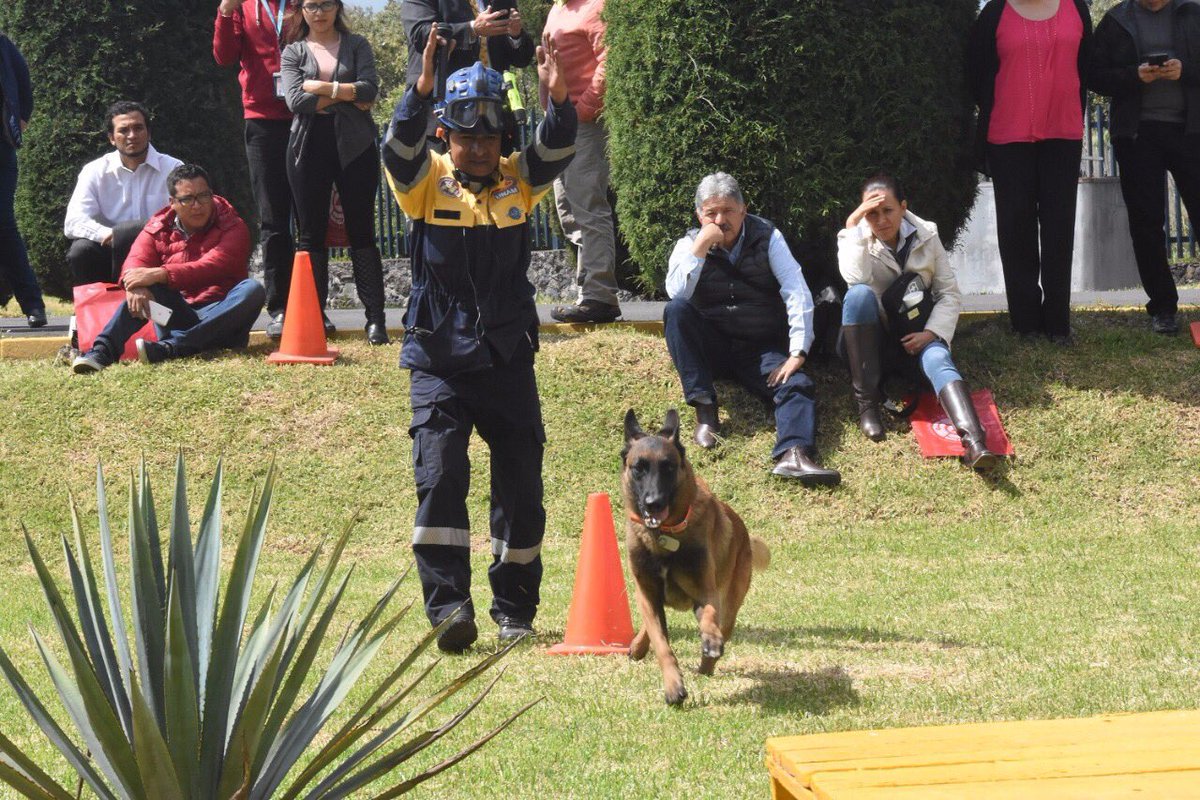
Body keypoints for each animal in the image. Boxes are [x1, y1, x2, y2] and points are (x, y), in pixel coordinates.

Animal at [621, 408, 770, 705]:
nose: (654, 503)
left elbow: (709, 615)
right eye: (639, 468)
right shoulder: (647, 593)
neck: (662, 537)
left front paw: (710, 642)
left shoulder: (705, 592)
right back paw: (640, 646)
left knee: (722, 625)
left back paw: (707, 663)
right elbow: (662, 643)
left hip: (731, 603)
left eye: (668, 467)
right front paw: (673, 685)